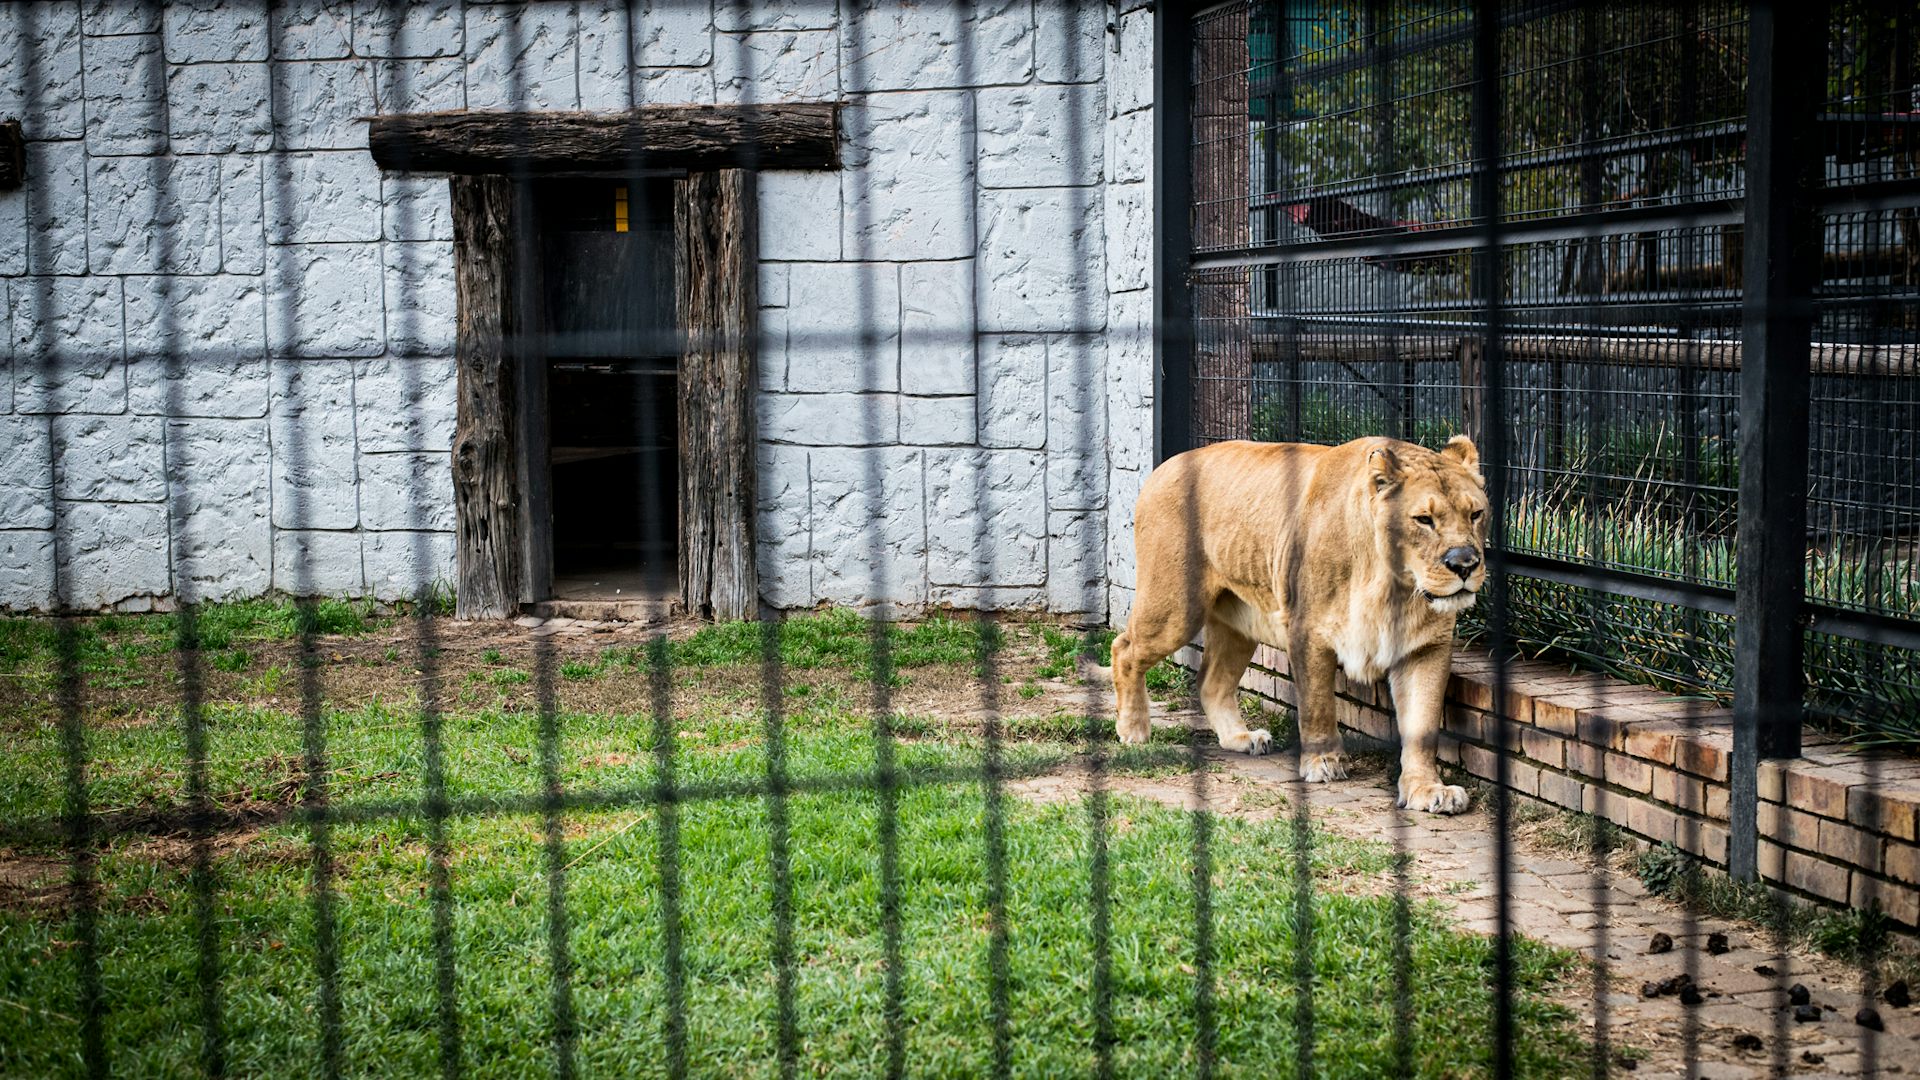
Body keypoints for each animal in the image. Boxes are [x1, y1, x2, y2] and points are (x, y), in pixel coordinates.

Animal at [1110, 435, 1488, 814]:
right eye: (1424, 519)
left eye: (1476, 513)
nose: (1465, 564)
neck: (1392, 584)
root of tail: (1165, 466)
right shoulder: (1308, 630)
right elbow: (1317, 704)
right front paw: (1324, 762)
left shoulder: (1426, 648)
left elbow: (1422, 727)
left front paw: (1427, 788)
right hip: (1175, 608)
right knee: (1123, 649)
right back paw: (1133, 730)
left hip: (1238, 623)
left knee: (1210, 683)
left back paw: (1240, 738)